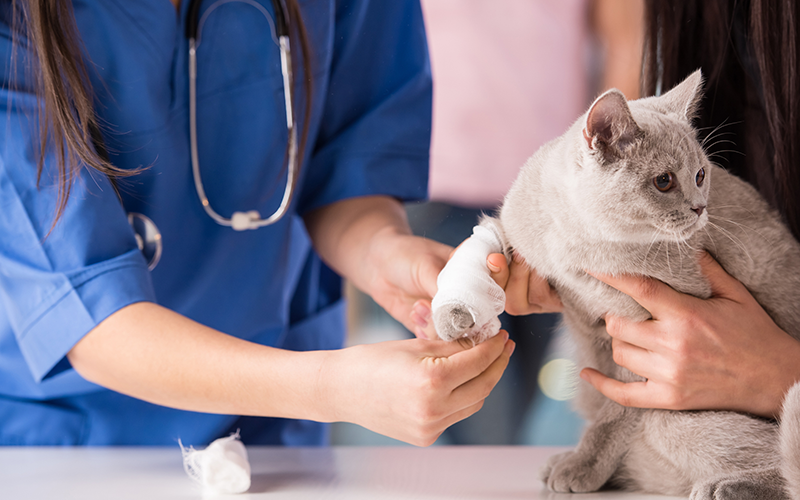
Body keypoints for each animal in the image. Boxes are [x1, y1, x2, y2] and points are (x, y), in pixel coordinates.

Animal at [434, 71, 800, 500]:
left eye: (700, 176)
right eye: (664, 181)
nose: (700, 209)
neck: (581, 246)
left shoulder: (649, 341)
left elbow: (615, 409)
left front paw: (583, 466)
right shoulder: (510, 233)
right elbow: (483, 248)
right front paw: (455, 316)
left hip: (674, 421)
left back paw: (723, 486)